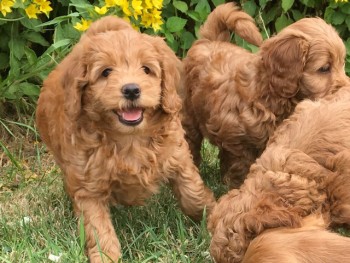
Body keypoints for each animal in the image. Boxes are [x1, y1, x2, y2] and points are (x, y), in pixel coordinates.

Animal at [36, 16, 216, 263]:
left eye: (146, 69)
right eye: (106, 72)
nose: (131, 89)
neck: (130, 140)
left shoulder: (177, 156)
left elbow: (193, 193)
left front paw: (213, 216)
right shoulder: (88, 185)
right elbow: (98, 227)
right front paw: (105, 256)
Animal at [182, 2, 348, 188]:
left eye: (342, 63)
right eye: (324, 68)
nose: (345, 90)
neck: (270, 94)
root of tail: (209, 40)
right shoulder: (237, 141)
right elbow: (240, 166)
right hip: (188, 113)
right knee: (191, 142)